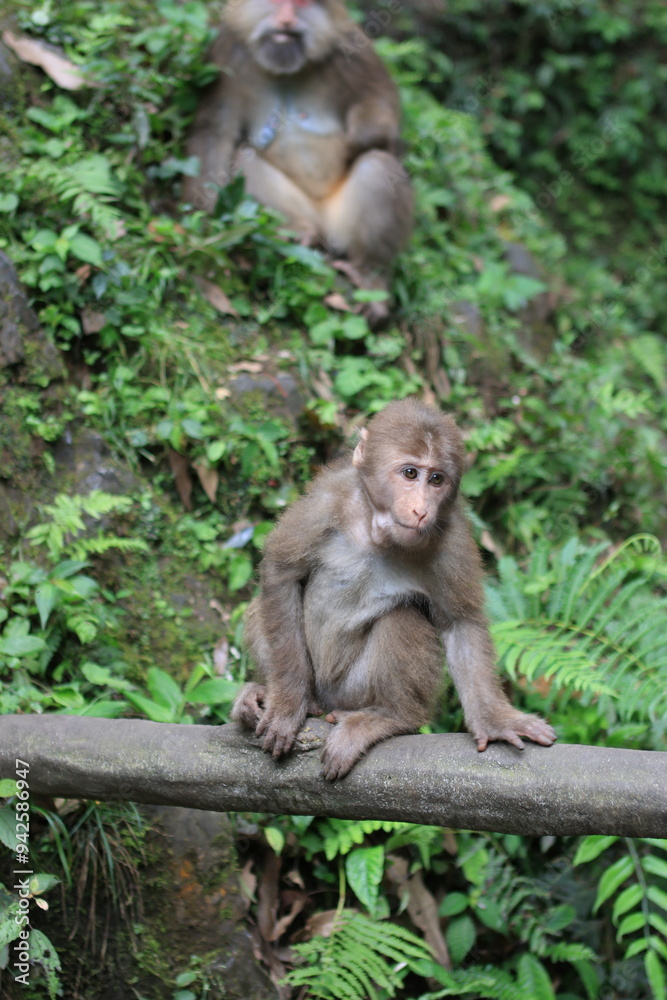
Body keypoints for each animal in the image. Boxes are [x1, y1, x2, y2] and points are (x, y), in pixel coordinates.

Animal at [183, 0, 413, 326]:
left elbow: (381, 105)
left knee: (378, 166)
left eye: (300, 3)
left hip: (339, 226)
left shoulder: (353, 49)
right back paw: (298, 229)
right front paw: (201, 225)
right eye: (276, 2)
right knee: (242, 158)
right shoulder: (226, 53)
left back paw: (371, 277)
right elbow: (215, 133)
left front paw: (365, 135)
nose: (286, 21)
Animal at [231, 398, 556, 780]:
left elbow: (460, 623)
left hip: (353, 692)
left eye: (436, 479)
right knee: (263, 605)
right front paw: (287, 705)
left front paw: (495, 720)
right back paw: (267, 692)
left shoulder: (453, 537)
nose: (421, 509)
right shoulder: (327, 498)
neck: (376, 529)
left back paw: (391, 718)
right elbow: (281, 573)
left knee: (400, 619)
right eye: (410, 474)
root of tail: (329, 701)